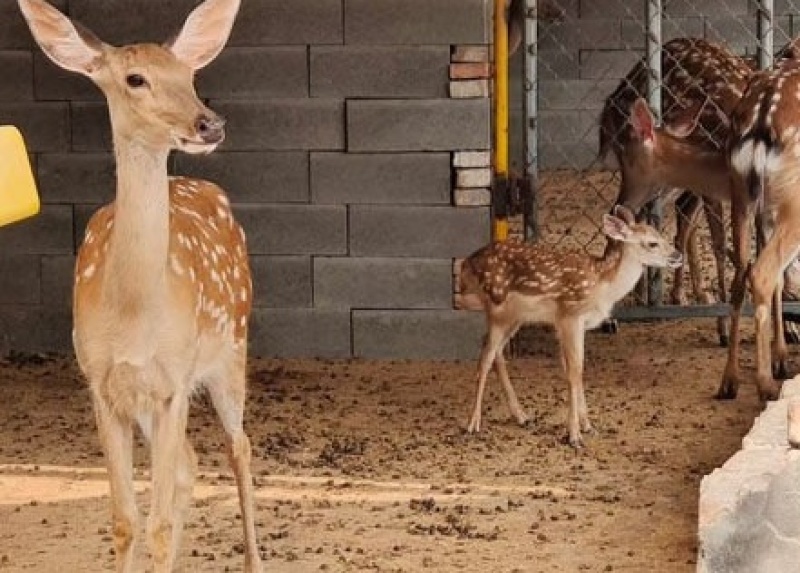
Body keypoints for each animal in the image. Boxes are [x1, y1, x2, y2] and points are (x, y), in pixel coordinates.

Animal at [18, 0, 262, 571]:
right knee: (190, 466)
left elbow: (159, 520)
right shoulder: (100, 383)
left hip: (231, 345)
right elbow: (127, 520)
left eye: (190, 75)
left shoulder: (175, 379)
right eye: (136, 79)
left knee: (238, 446)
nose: (209, 123)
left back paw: (254, 561)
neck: (131, 316)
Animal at [455, 205, 682, 448]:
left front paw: (587, 426)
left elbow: (575, 369)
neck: (602, 286)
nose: (678, 256)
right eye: (652, 243)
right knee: (485, 356)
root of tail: (467, 264)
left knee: (496, 353)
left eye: (661, 234)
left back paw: (522, 416)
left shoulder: (572, 324)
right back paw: (473, 424)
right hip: (496, 307)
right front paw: (574, 435)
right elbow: (575, 370)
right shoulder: (570, 315)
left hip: (516, 317)